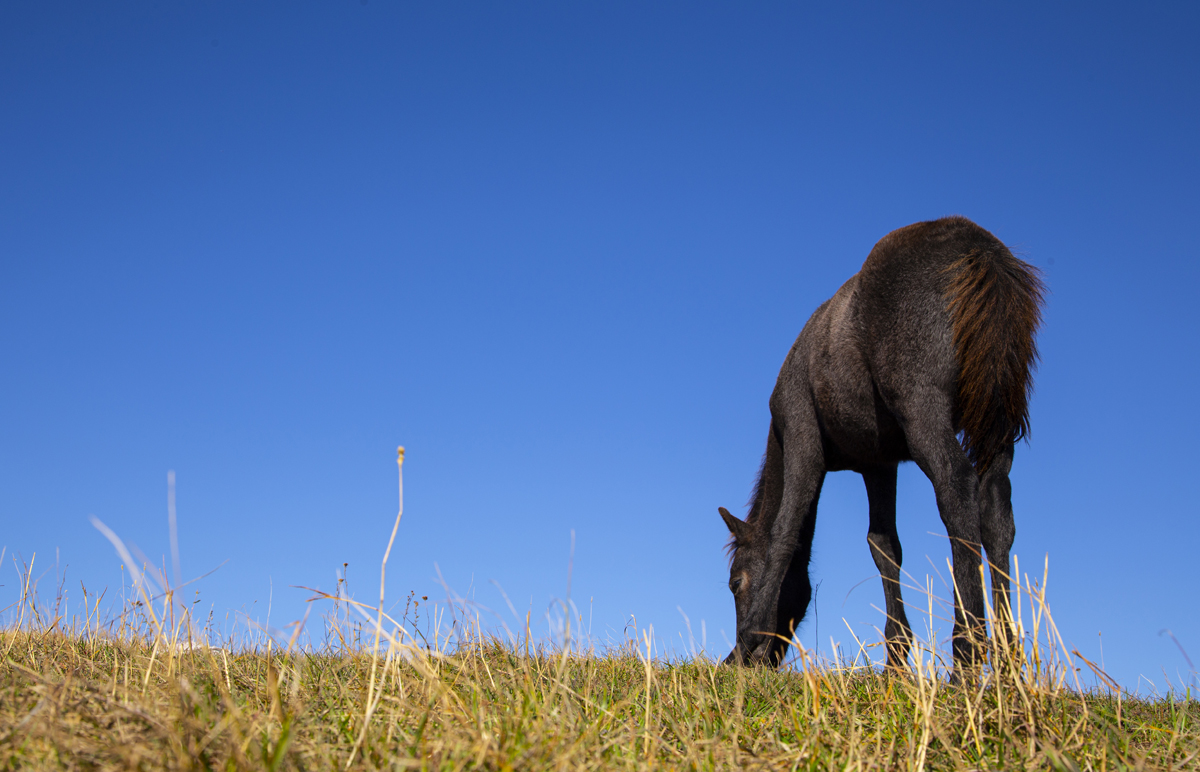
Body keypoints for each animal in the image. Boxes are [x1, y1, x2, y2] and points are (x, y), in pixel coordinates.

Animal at [720, 217, 1041, 672]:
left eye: (735, 582)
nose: (747, 661)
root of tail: (981, 249)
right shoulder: (879, 465)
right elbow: (884, 544)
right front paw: (897, 658)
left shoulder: (802, 437)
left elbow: (785, 529)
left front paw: (750, 637)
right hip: (997, 424)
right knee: (996, 510)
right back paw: (1009, 660)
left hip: (923, 411)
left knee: (957, 490)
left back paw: (966, 653)